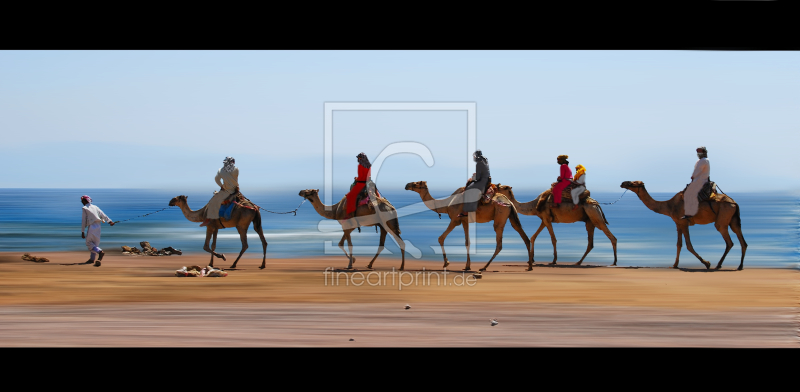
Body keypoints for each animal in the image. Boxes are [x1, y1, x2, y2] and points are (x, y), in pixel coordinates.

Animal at [620, 180, 748, 270]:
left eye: (634, 182)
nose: (623, 183)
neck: (669, 206)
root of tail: (734, 202)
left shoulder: (684, 222)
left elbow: (688, 245)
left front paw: (706, 263)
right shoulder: (678, 223)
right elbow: (679, 244)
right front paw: (675, 265)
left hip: (723, 217)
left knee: (728, 241)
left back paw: (718, 265)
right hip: (733, 219)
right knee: (742, 240)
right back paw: (739, 266)